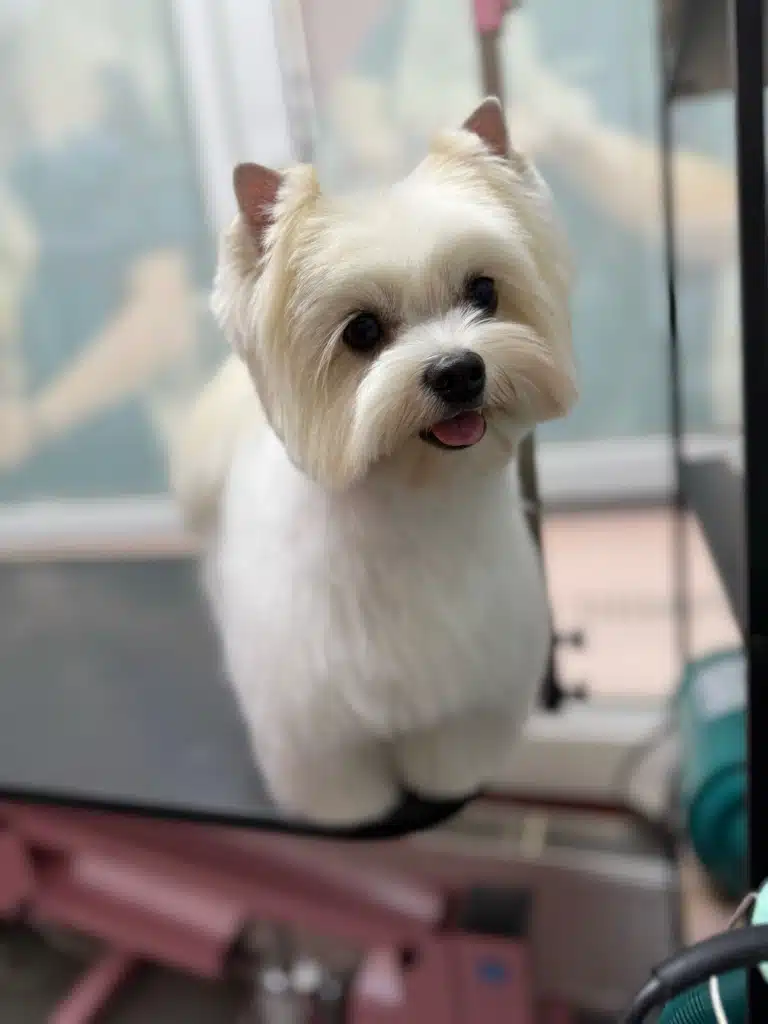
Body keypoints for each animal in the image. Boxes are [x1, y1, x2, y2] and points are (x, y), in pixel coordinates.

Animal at [171, 98, 577, 827]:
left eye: (483, 291)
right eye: (361, 330)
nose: (458, 371)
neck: (409, 501)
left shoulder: (470, 687)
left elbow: (454, 746)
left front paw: (450, 779)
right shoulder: (313, 720)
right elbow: (338, 777)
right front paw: (349, 813)